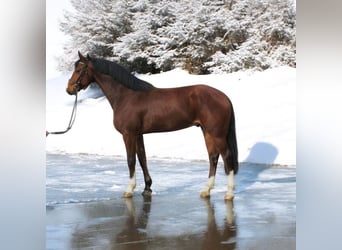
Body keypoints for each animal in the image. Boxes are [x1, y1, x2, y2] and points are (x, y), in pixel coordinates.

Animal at [66, 51, 238, 200]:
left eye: (79, 69)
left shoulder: (128, 134)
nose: (69, 89)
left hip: (217, 134)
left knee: (226, 156)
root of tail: (223, 96)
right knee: (213, 157)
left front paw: (129, 189)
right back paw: (206, 190)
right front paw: (147, 188)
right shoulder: (138, 134)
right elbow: (142, 158)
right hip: (206, 131)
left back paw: (229, 193)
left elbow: (131, 160)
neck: (126, 96)